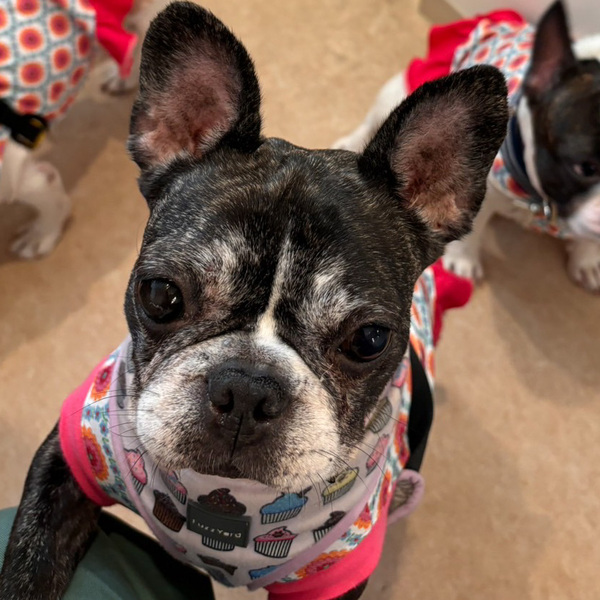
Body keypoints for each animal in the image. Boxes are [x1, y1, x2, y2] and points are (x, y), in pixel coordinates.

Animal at [334, 2, 600, 293]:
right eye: (585, 168)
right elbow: (476, 225)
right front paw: (464, 260)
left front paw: (587, 260)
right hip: (398, 92)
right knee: (371, 120)